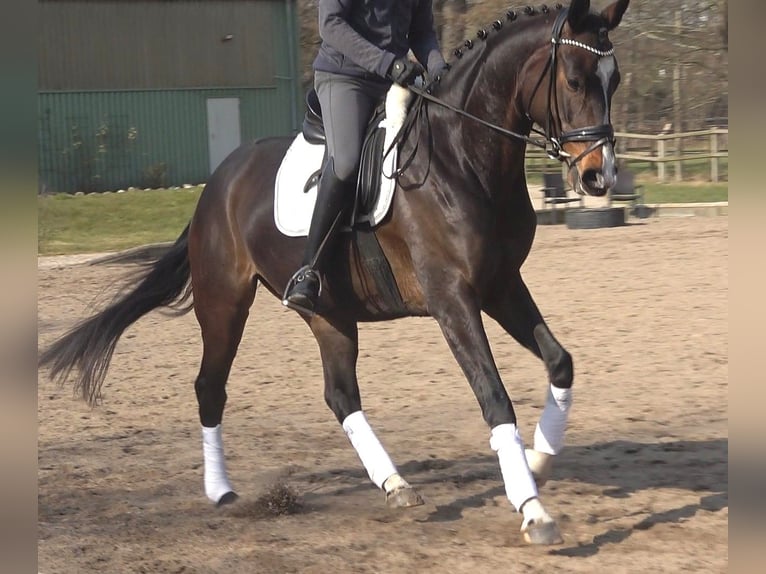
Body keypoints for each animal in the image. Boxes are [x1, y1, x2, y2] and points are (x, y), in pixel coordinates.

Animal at [40, 1, 632, 548]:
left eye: (615, 80)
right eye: (574, 80)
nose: (599, 177)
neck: (462, 157)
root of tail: (219, 180)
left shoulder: (501, 285)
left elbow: (560, 362)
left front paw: (538, 461)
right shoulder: (452, 298)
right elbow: (493, 394)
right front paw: (533, 510)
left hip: (330, 313)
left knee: (341, 394)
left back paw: (395, 484)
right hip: (224, 302)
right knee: (211, 387)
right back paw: (222, 492)